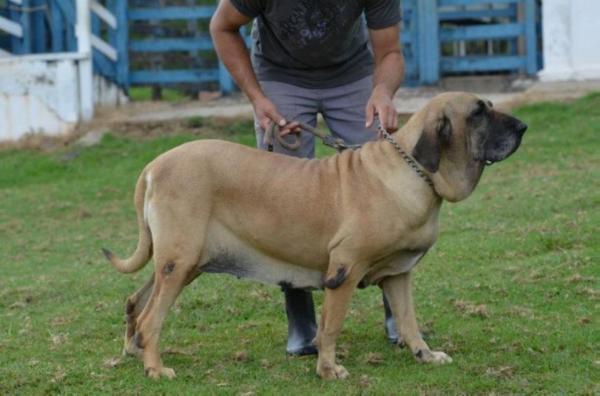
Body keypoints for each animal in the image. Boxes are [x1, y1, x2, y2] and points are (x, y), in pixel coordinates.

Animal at [105, 91, 528, 378]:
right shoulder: (344, 269)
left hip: (182, 263)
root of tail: (153, 167)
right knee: (151, 318)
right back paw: (156, 369)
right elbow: (330, 326)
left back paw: (133, 351)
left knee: (136, 302)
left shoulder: (398, 275)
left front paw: (425, 355)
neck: (415, 171)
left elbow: (408, 321)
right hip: (180, 260)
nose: (523, 127)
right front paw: (329, 370)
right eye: (478, 112)